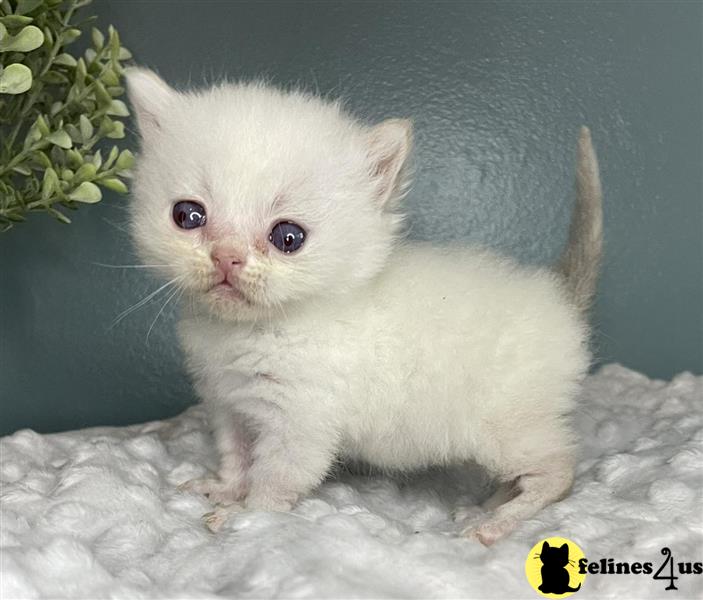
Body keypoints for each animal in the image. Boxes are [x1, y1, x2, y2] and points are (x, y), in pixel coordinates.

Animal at [125, 68, 600, 548]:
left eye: (288, 238)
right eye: (188, 216)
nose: (225, 257)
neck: (249, 331)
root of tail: (560, 296)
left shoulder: (299, 422)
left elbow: (274, 479)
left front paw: (246, 517)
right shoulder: (228, 403)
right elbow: (236, 457)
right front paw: (224, 489)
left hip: (505, 427)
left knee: (558, 472)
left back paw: (493, 522)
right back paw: (491, 504)